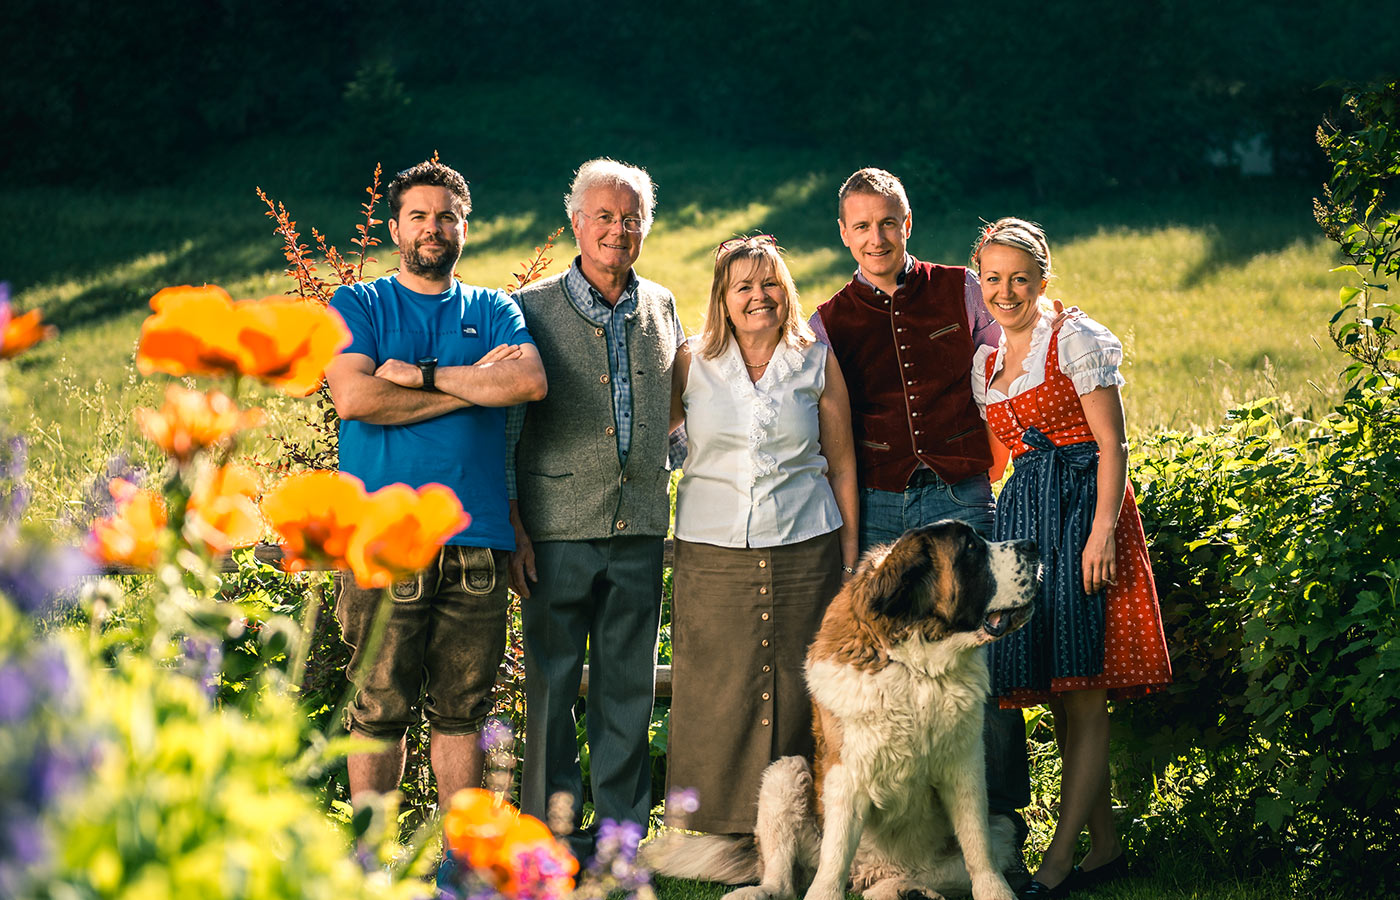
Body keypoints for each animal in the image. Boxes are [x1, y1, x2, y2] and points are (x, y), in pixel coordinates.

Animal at [644, 520, 1041, 900]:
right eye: (971, 549)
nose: (1033, 545)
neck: (916, 667)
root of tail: (872, 871)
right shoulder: (846, 773)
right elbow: (834, 856)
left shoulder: (966, 770)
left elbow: (978, 849)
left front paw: (997, 894)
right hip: (783, 774)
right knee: (787, 880)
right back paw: (759, 892)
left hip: (1002, 826)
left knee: (914, 877)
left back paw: (908, 889)